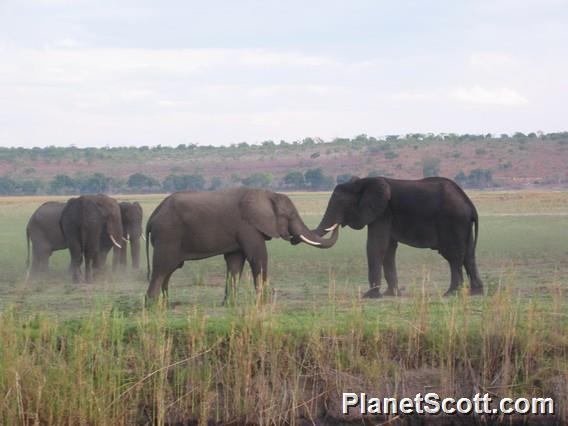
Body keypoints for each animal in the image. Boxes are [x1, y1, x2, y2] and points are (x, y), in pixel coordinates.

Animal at [145, 187, 338, 302]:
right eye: (290, 215)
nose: (292, 238)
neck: (267, 194)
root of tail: (152, 216)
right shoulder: (248, 226)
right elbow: (258, 257)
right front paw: (264, 301)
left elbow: (235, 262)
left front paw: (230, 304)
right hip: (168, 235)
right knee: (162, 268)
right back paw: (152, 305)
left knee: (169, 270)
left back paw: (165, 304)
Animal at [300, 176, 482, 296]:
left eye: (341, 204)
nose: (337, 225)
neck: (363, 182)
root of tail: (470, 205)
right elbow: (388, 248)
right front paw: (391, 294)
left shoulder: (383, 212)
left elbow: (375, 246)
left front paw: (370, 296)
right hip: (463, 223)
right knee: (469, 255)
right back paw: (476, 293)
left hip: (453, 221)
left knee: (454, 256)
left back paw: (451, 293)